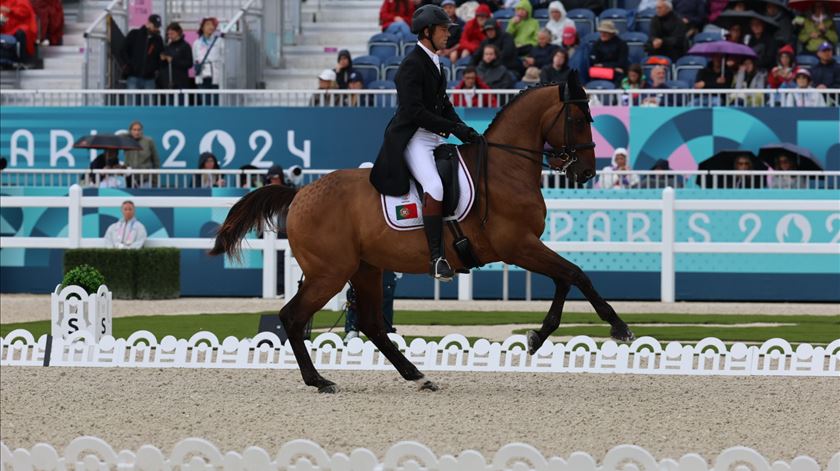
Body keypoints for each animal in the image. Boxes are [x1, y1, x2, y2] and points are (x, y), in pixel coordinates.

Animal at [212, 76, 636, 394]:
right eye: (579, 119)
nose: (585, 171)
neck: (505, 166)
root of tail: (300, 193)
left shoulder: (525, 247)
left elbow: (566, 279)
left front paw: (538, 336)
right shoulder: (518, 246)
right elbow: (576, 274)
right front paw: (619, 328)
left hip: (365, 269)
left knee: (371, 324)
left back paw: (416, 375)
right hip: (330, 272)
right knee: (293, 317)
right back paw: (319, 380)